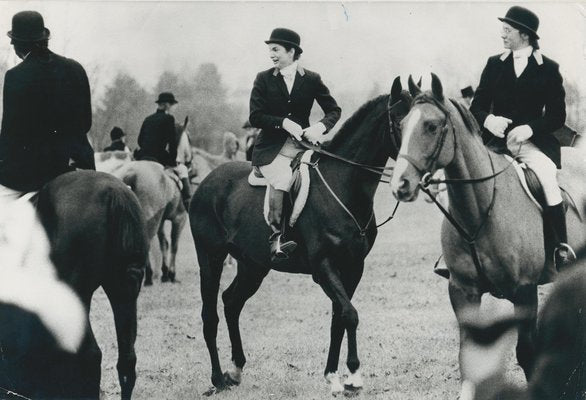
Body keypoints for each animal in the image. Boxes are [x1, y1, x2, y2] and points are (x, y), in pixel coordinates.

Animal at [189, 76, 408, 392]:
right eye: (401, 121)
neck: (343, 185)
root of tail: (206, 182)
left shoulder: (353, 267)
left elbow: (339, 317)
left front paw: (333, 375)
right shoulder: (323, 266)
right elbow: (350, 314)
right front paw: (353, 376)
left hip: (253, 265)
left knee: (231, 302)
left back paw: (236, 370)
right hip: (211, 258)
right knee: (210, 315)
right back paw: (218, 378)